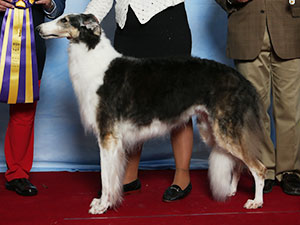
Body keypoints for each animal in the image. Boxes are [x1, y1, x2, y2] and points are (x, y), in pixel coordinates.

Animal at [37, 13, 268, 214]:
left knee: (258, 167)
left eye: (65, 20)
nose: (38, 28)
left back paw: (255, 201)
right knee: (238, 163)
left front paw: (103, 205)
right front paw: (106, 200)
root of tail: (240, 79)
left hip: (224, 130)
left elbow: (105, 176)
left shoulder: (107, 136)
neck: (94, 60)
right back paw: (231, 190)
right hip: (212, 130)